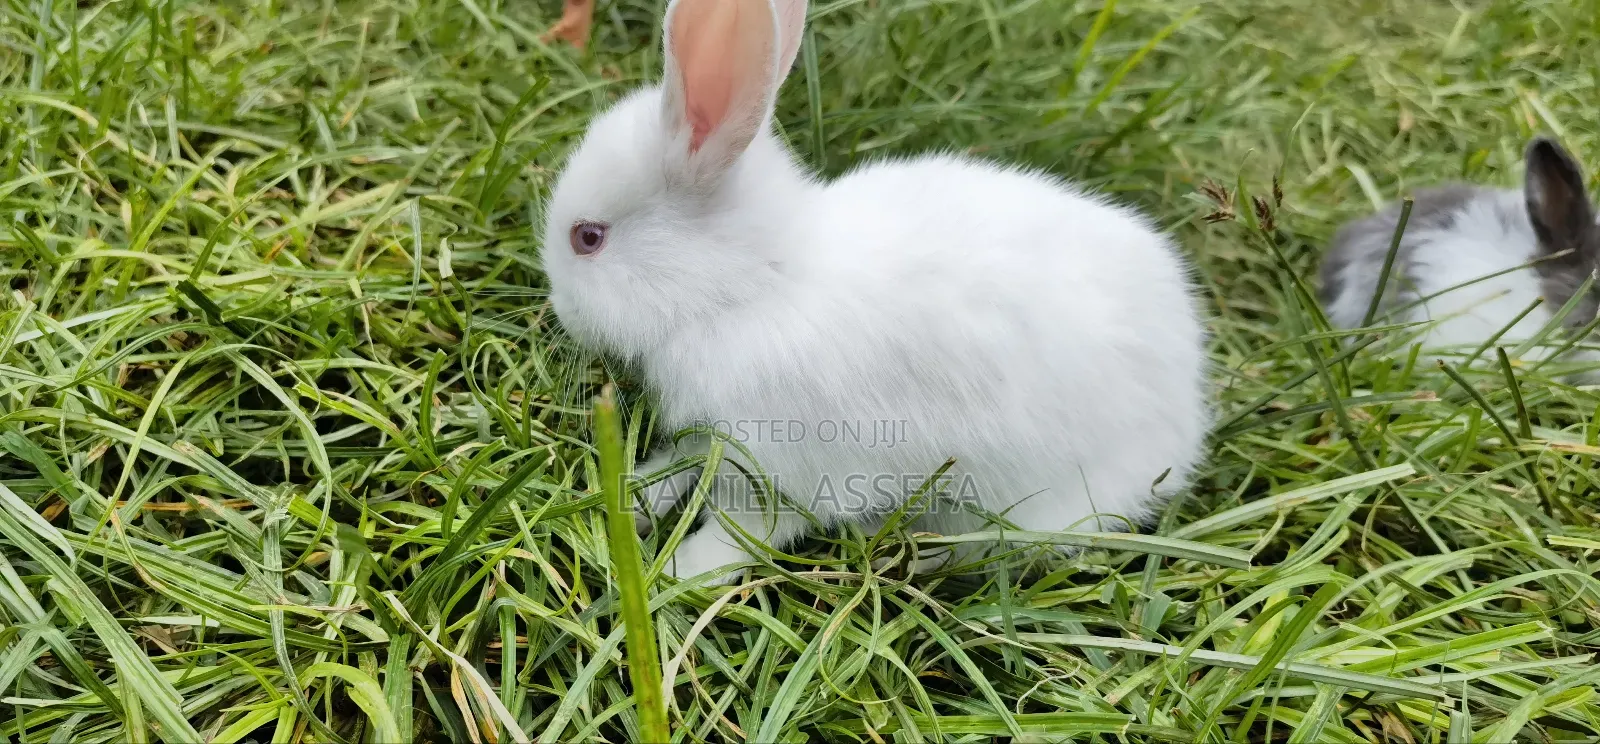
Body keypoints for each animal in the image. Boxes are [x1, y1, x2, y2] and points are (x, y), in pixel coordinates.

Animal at [539, 0, 1211, 585]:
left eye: (588, 238)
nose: (560, 311)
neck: (752, 285)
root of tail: (1190, 407)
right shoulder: (717, 434)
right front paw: (631, 497)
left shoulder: (794, 464)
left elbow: (746, 530)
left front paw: (676, 572)